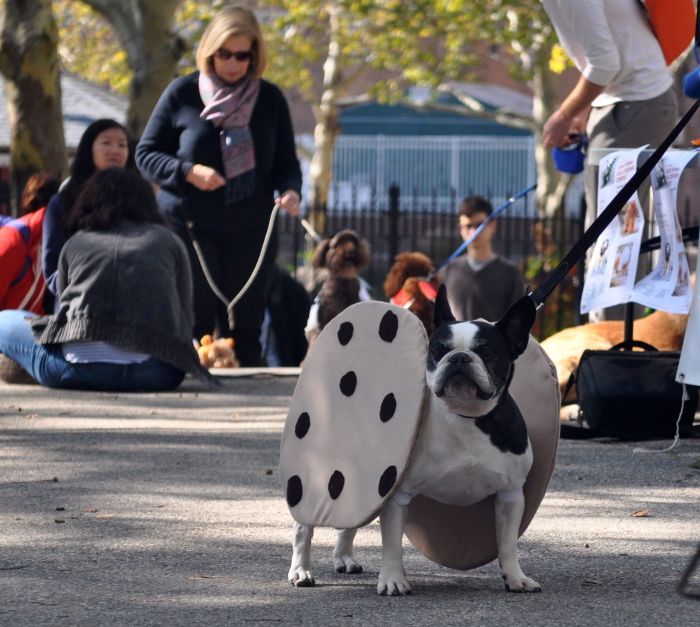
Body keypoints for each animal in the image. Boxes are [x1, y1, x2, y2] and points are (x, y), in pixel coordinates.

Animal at [288, 288, 540, 596]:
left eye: (487, 352)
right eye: (438, 351)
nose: (458, 358)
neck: (465, 415)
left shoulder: (510, 495)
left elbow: (507, 543)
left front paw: (516, 578)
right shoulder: (397, 495)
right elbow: (392, 546)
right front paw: (393, 580)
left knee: (350, 519)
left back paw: (344, 558)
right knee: (304, 528)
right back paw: (301, 570)